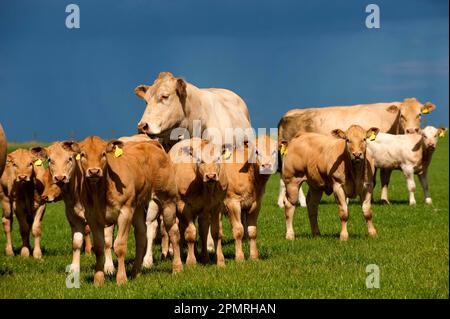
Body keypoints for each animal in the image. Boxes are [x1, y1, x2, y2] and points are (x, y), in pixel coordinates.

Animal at [75, 136, 181, 286]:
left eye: (103, 154)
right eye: (83, 154)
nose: (94, 171)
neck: (101, 192)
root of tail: (152, 144)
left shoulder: (124, 213)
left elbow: (119, 246)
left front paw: (121, 278)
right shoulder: (92, 217)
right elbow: (100, 247)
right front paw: (98, 279)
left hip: (168, 201)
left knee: (173, 232)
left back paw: (177, 268)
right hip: (138, 207)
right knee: (142, 235)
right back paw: (136, 272)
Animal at [276, 97, 438, 209]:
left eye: (419, 115)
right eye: (402, 115)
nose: (411, 130)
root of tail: (288, 114)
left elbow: (383, 179)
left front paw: (380, 200)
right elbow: (378, 179)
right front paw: (379, 200)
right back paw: (296, 203)